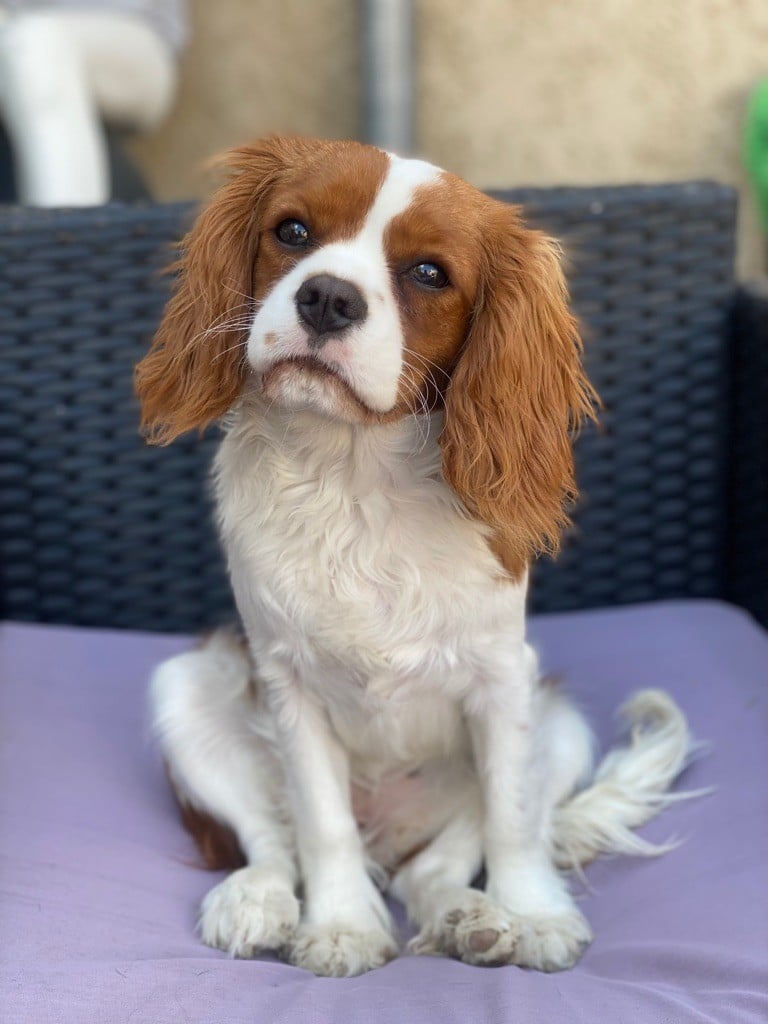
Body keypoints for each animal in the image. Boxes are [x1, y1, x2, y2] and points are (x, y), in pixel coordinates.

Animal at [135, 136, 696, 974]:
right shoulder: (286, 683)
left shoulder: (504, 679)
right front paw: (341, 925)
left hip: (559, 722)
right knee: (272, 841)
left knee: (435, 866)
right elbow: (319, 822)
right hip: (189, 685)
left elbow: (510, 819)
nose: (327, 297)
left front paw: (534, 912)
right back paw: (258, 901)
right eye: (292, 232)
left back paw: (473, 917)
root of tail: (390, 837)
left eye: (430, 273)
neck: (355, 474)